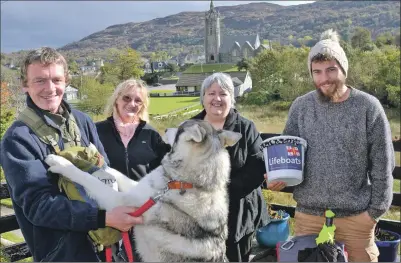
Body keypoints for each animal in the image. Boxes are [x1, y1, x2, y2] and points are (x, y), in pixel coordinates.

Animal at [43, 120, 241, 262]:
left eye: (179, 129)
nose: (166, 129)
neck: (182, 183)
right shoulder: (137, 188)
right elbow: (113, 172)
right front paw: (89, 157)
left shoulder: (121, 201)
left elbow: (89, 179)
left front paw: (63, 164)